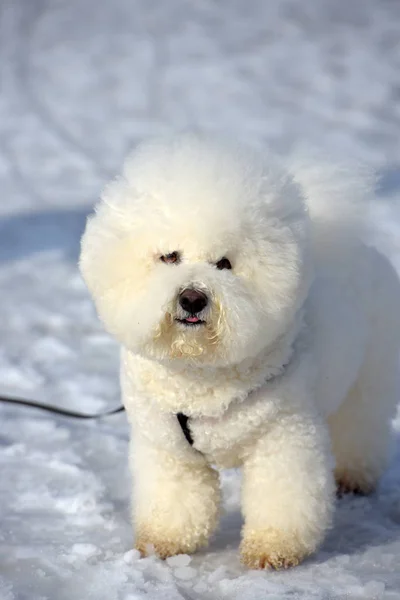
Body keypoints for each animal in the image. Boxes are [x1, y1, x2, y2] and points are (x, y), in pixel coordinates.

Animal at [79, 134, 400, 568]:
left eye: (225, 264)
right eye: (169, 256)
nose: (193, 298)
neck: (200, 374)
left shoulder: (284, 435)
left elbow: (283, 497)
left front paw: (274, 549)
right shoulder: (168, 447)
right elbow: (174, 499)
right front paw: (164, 541)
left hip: (370, 377)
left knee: (362, 426)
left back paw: (353, 476)